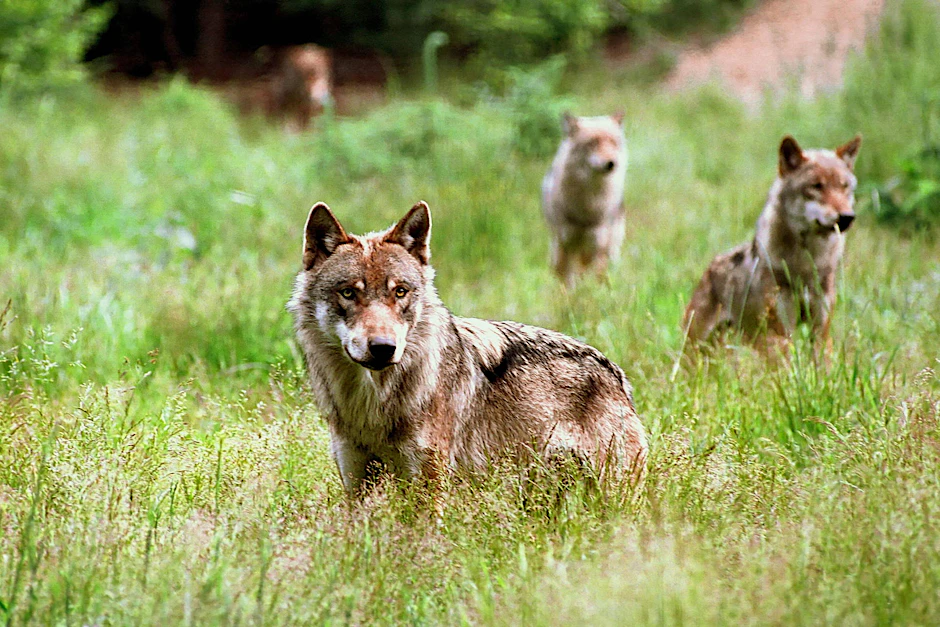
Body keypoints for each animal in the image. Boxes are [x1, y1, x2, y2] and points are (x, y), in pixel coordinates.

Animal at [288, 201, 647, 497]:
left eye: (400, 292)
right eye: (348, 293)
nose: (383, 348)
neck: (373, 405)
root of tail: (617, 374)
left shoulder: (428, 485)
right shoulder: (355, 482)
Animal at [542, 112, 628, 286]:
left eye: (613, 142)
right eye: (593, 143)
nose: (611, 163)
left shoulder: (599, 246)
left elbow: (596, 280)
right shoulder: (565, 244)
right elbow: (565, 282)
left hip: (609, 251)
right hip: (558, 249)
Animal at [683, 134, 862, 350]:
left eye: (844, 187)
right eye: (816, 186)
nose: (847, 217)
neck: (806, 262)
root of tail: (709, 268)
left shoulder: (820, 332)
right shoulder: (779, 332)